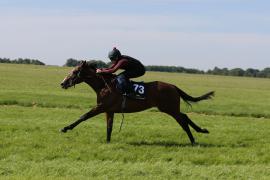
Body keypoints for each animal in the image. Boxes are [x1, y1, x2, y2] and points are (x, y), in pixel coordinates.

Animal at [60, 60, 214, 145]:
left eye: (75, 71)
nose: (62, 83)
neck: (104, 85)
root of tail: (173, 86)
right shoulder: (109, 110)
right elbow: (109, 126)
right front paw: (108, 141)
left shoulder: (101, 107)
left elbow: (83, 116)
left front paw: (65, 128)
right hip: (170, 108)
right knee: (185, 117)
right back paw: (200, 132)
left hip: (169, 108)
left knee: (183, 120)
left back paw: (194, 139)